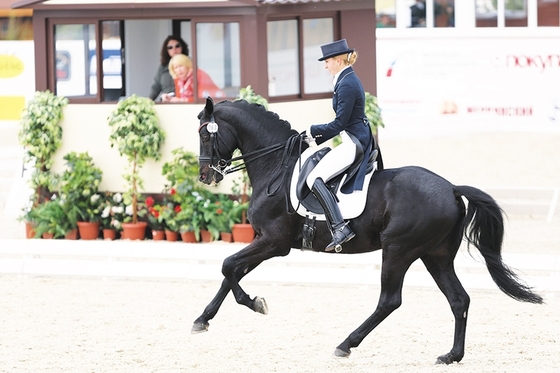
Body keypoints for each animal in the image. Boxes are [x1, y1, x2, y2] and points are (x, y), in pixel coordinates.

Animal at [194, 98, 544, 364]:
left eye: (205, 134)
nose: (205, 176)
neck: (276, 169)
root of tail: (452, 189)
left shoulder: (274, 242)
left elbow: (228, 267)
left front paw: (255, 303)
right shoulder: (263, 241)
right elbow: (231, 272)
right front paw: (203, 319)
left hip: (398, 250)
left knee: (390, 300)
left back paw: (345, 344)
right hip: (436, 255)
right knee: (458, 300)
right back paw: (452, 355)